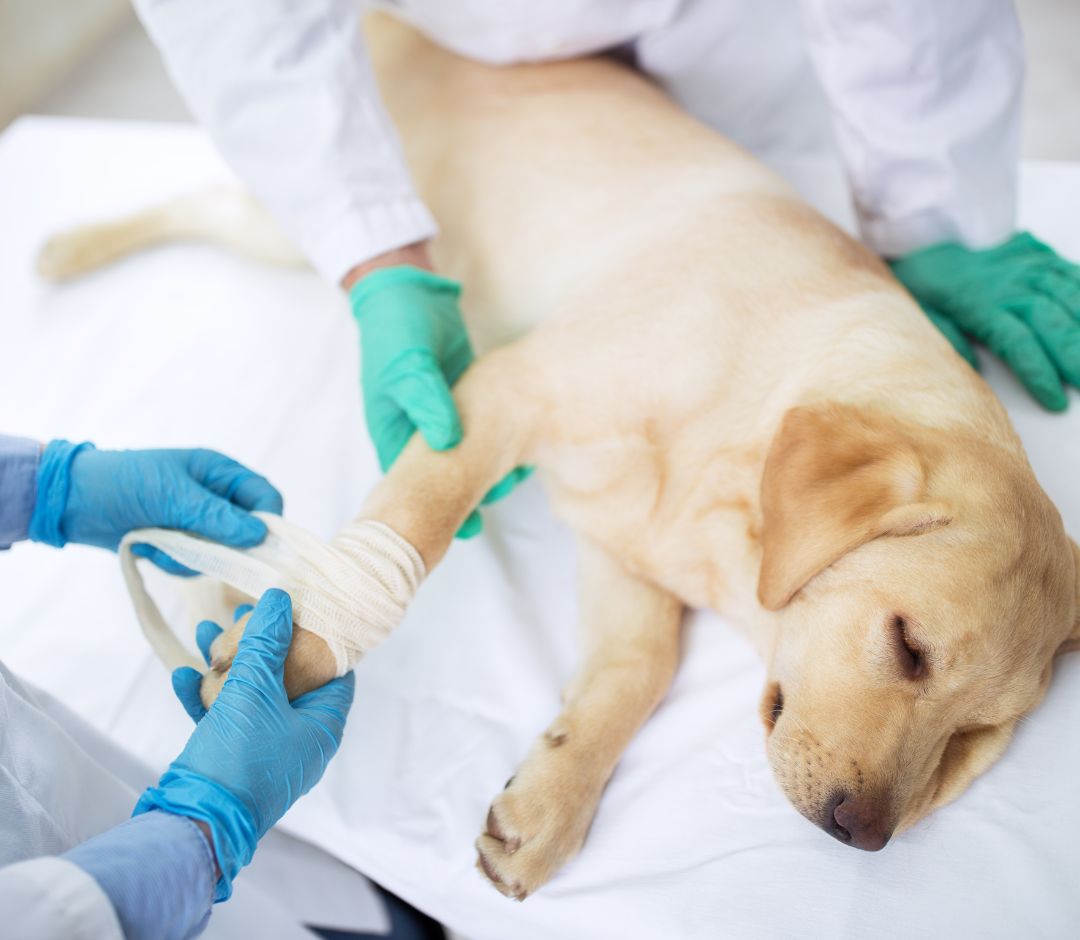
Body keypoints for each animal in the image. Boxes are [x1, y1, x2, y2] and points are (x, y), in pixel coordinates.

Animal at [38, 12, 1075, 898]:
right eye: (908, 646)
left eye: (977, 738)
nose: (861, 836)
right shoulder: (496, 399)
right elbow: (413, 530)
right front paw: (296, 659)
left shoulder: (624, 547)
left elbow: (637, 670)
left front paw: (551, 801)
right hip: (315, 221)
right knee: (219, 208)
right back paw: (69, 246)